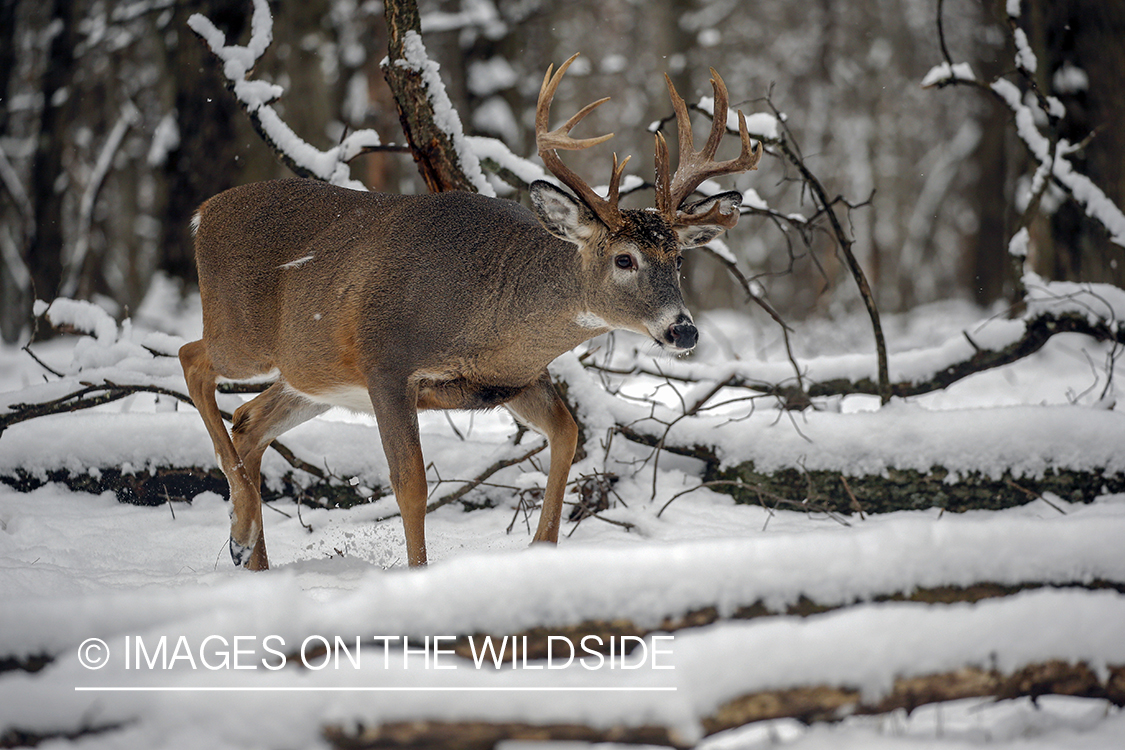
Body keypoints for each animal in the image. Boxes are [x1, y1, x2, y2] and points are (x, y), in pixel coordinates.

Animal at [180, 54, 760, 568]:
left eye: (678, 258)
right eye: (624, 259)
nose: (683, 331)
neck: (486, 318)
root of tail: (202, 213)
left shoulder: (514, 379)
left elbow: (568, 433)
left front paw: (541, 549)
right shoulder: (387, 364)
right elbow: (411, 483)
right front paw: (420, 575)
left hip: (315, 378)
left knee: (248, 420)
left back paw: (250, 555)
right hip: (243, 336)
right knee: (193, 358)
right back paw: (241, 537)